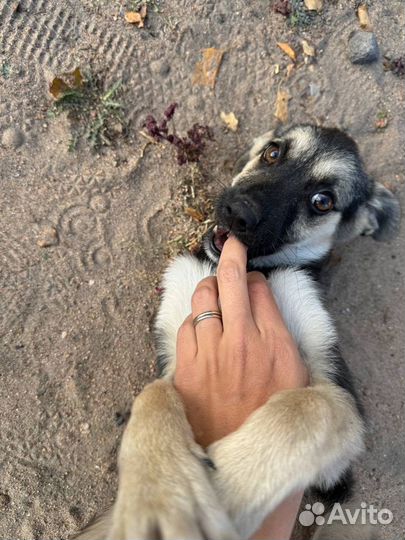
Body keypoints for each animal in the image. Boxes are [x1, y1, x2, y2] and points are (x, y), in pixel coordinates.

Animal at [75, 124, 398, 536]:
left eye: (322, 201)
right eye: (273, 153)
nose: (238, 212)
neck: (244, 271)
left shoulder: (340, 396)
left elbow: (308, 407)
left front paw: (226, 490)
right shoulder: (174, 351)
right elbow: (154, 392)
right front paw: (159, 491)